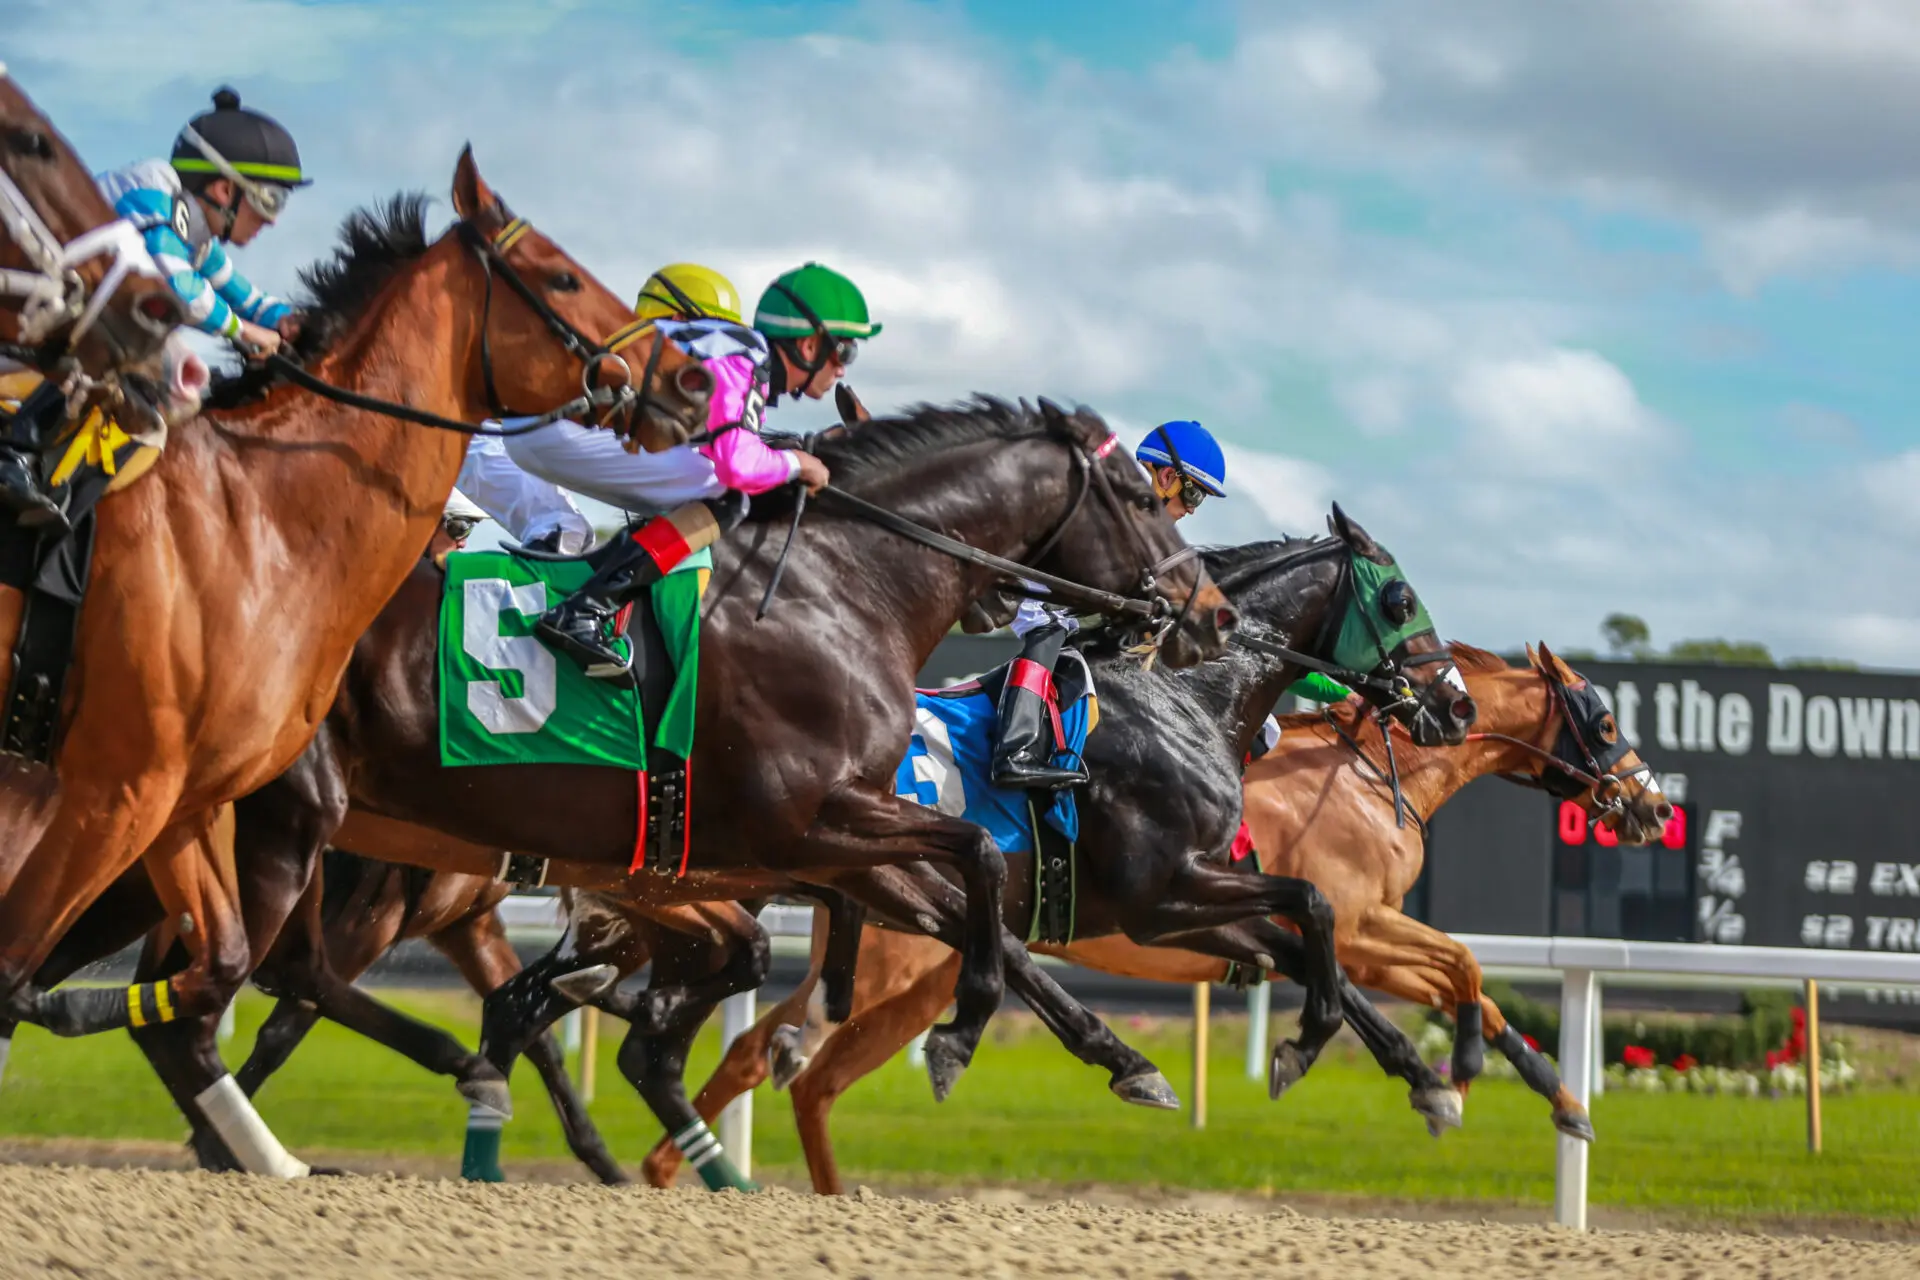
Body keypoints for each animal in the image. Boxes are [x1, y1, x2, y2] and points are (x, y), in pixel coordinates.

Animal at [0, 151, 714, 1175]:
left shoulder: (187, 798)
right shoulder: (123, 789)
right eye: (562, 275)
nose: (691, 382)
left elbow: (218, 974)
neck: (260, 513)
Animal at [17, 394, 1233, 1177]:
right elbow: (978, 859)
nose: (1210, 611)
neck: (841, 586)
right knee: (217, 984)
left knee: (152, 971)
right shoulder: (807, 820)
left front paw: (1122, 1058)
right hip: (287, 825)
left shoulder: (829, 840)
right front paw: (957, 1034)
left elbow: (986, 911)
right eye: (1140, 495)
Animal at [650, 643, 1670, 1192]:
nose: (1652, 805)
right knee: (765, 1054)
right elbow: (1461, 965)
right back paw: (680, 1166)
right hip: (892, 968)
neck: (1368, 774)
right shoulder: (1358, 923)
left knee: (812, 1077)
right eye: (1607, 720)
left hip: (919, 980)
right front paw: (1453, 1073)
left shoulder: (1354, 929)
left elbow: (1474, 983)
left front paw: (1557, 1100)